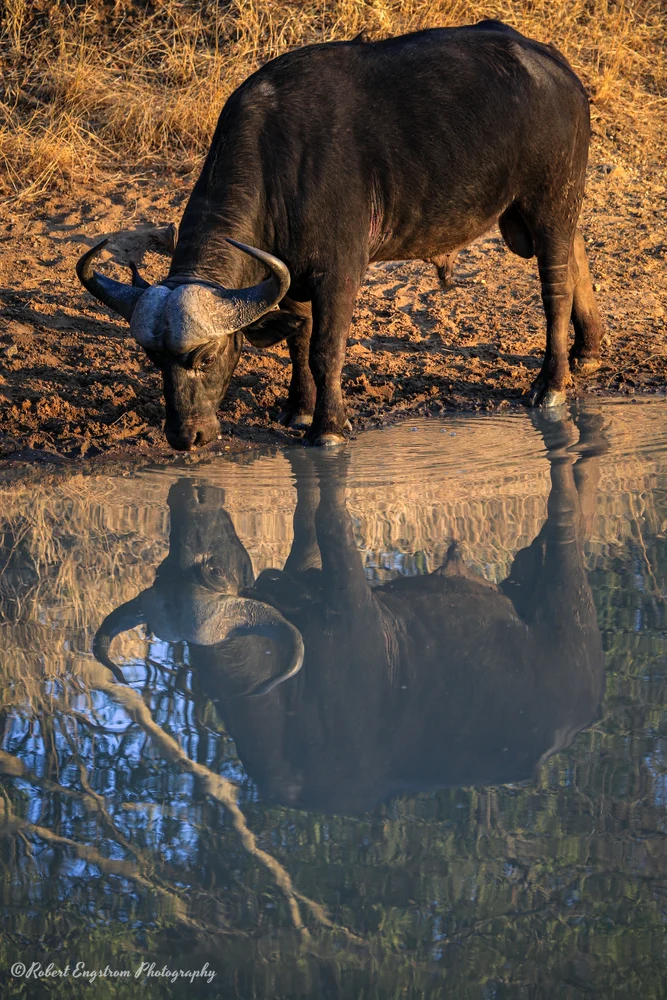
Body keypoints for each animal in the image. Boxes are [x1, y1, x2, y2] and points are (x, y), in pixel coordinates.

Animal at [77, 20, 603, 450]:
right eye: (153, 360)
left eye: (206, 358)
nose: (186, 436)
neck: (278, 165)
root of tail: (553, 63)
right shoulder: (287, 275)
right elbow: (298, 337)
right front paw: (298, 409)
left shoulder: (340, 273)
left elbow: (324, 349)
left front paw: (327, 427)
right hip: (550, 209)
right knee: (579, 253)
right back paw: (588, 352)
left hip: (548, 206)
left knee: (555, 289)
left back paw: (551, 384)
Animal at [95, 410, 606, 814]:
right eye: (162, 570)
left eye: (213, 569)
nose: (192, 501)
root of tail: (580, 713)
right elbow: (306, 524)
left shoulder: (355, 602)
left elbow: (328, 519)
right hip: (524, 575)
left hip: (569, 600)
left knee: (566, 517)